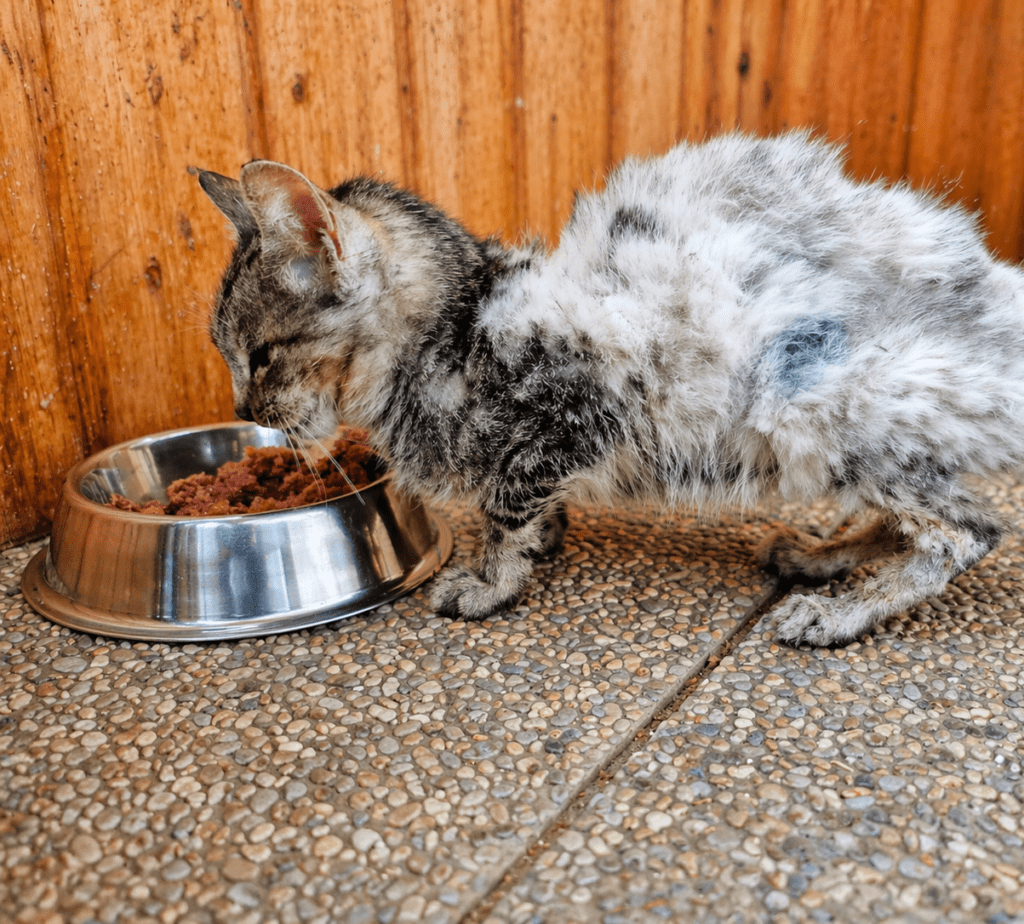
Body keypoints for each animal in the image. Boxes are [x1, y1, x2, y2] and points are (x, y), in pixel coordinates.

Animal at [198, 131, 1024, 646]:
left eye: (261, 357)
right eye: (225, 354)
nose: (243, 409)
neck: (453, 333)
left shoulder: (583, 405)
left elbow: (506, 500)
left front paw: (491, 580)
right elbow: (524, 501)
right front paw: (541, 540)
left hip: (814, 402)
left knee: (968, 529)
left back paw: (842, 611)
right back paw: (825, 552)